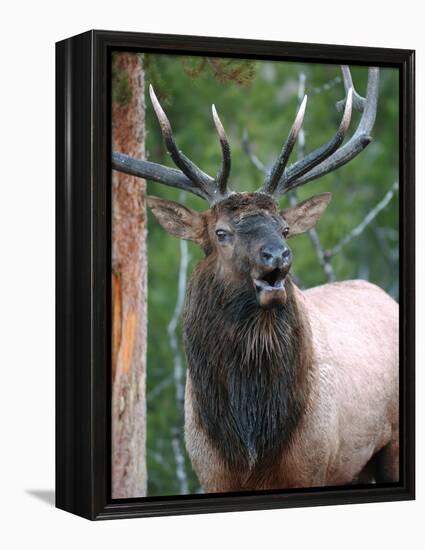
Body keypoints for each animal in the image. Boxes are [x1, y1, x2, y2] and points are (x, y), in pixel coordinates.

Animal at [112, 67, 398, 494]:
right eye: (221, 233)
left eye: (284, 227)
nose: (278, 256)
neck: (250, 443)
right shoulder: (210, 473)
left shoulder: (313, 467)